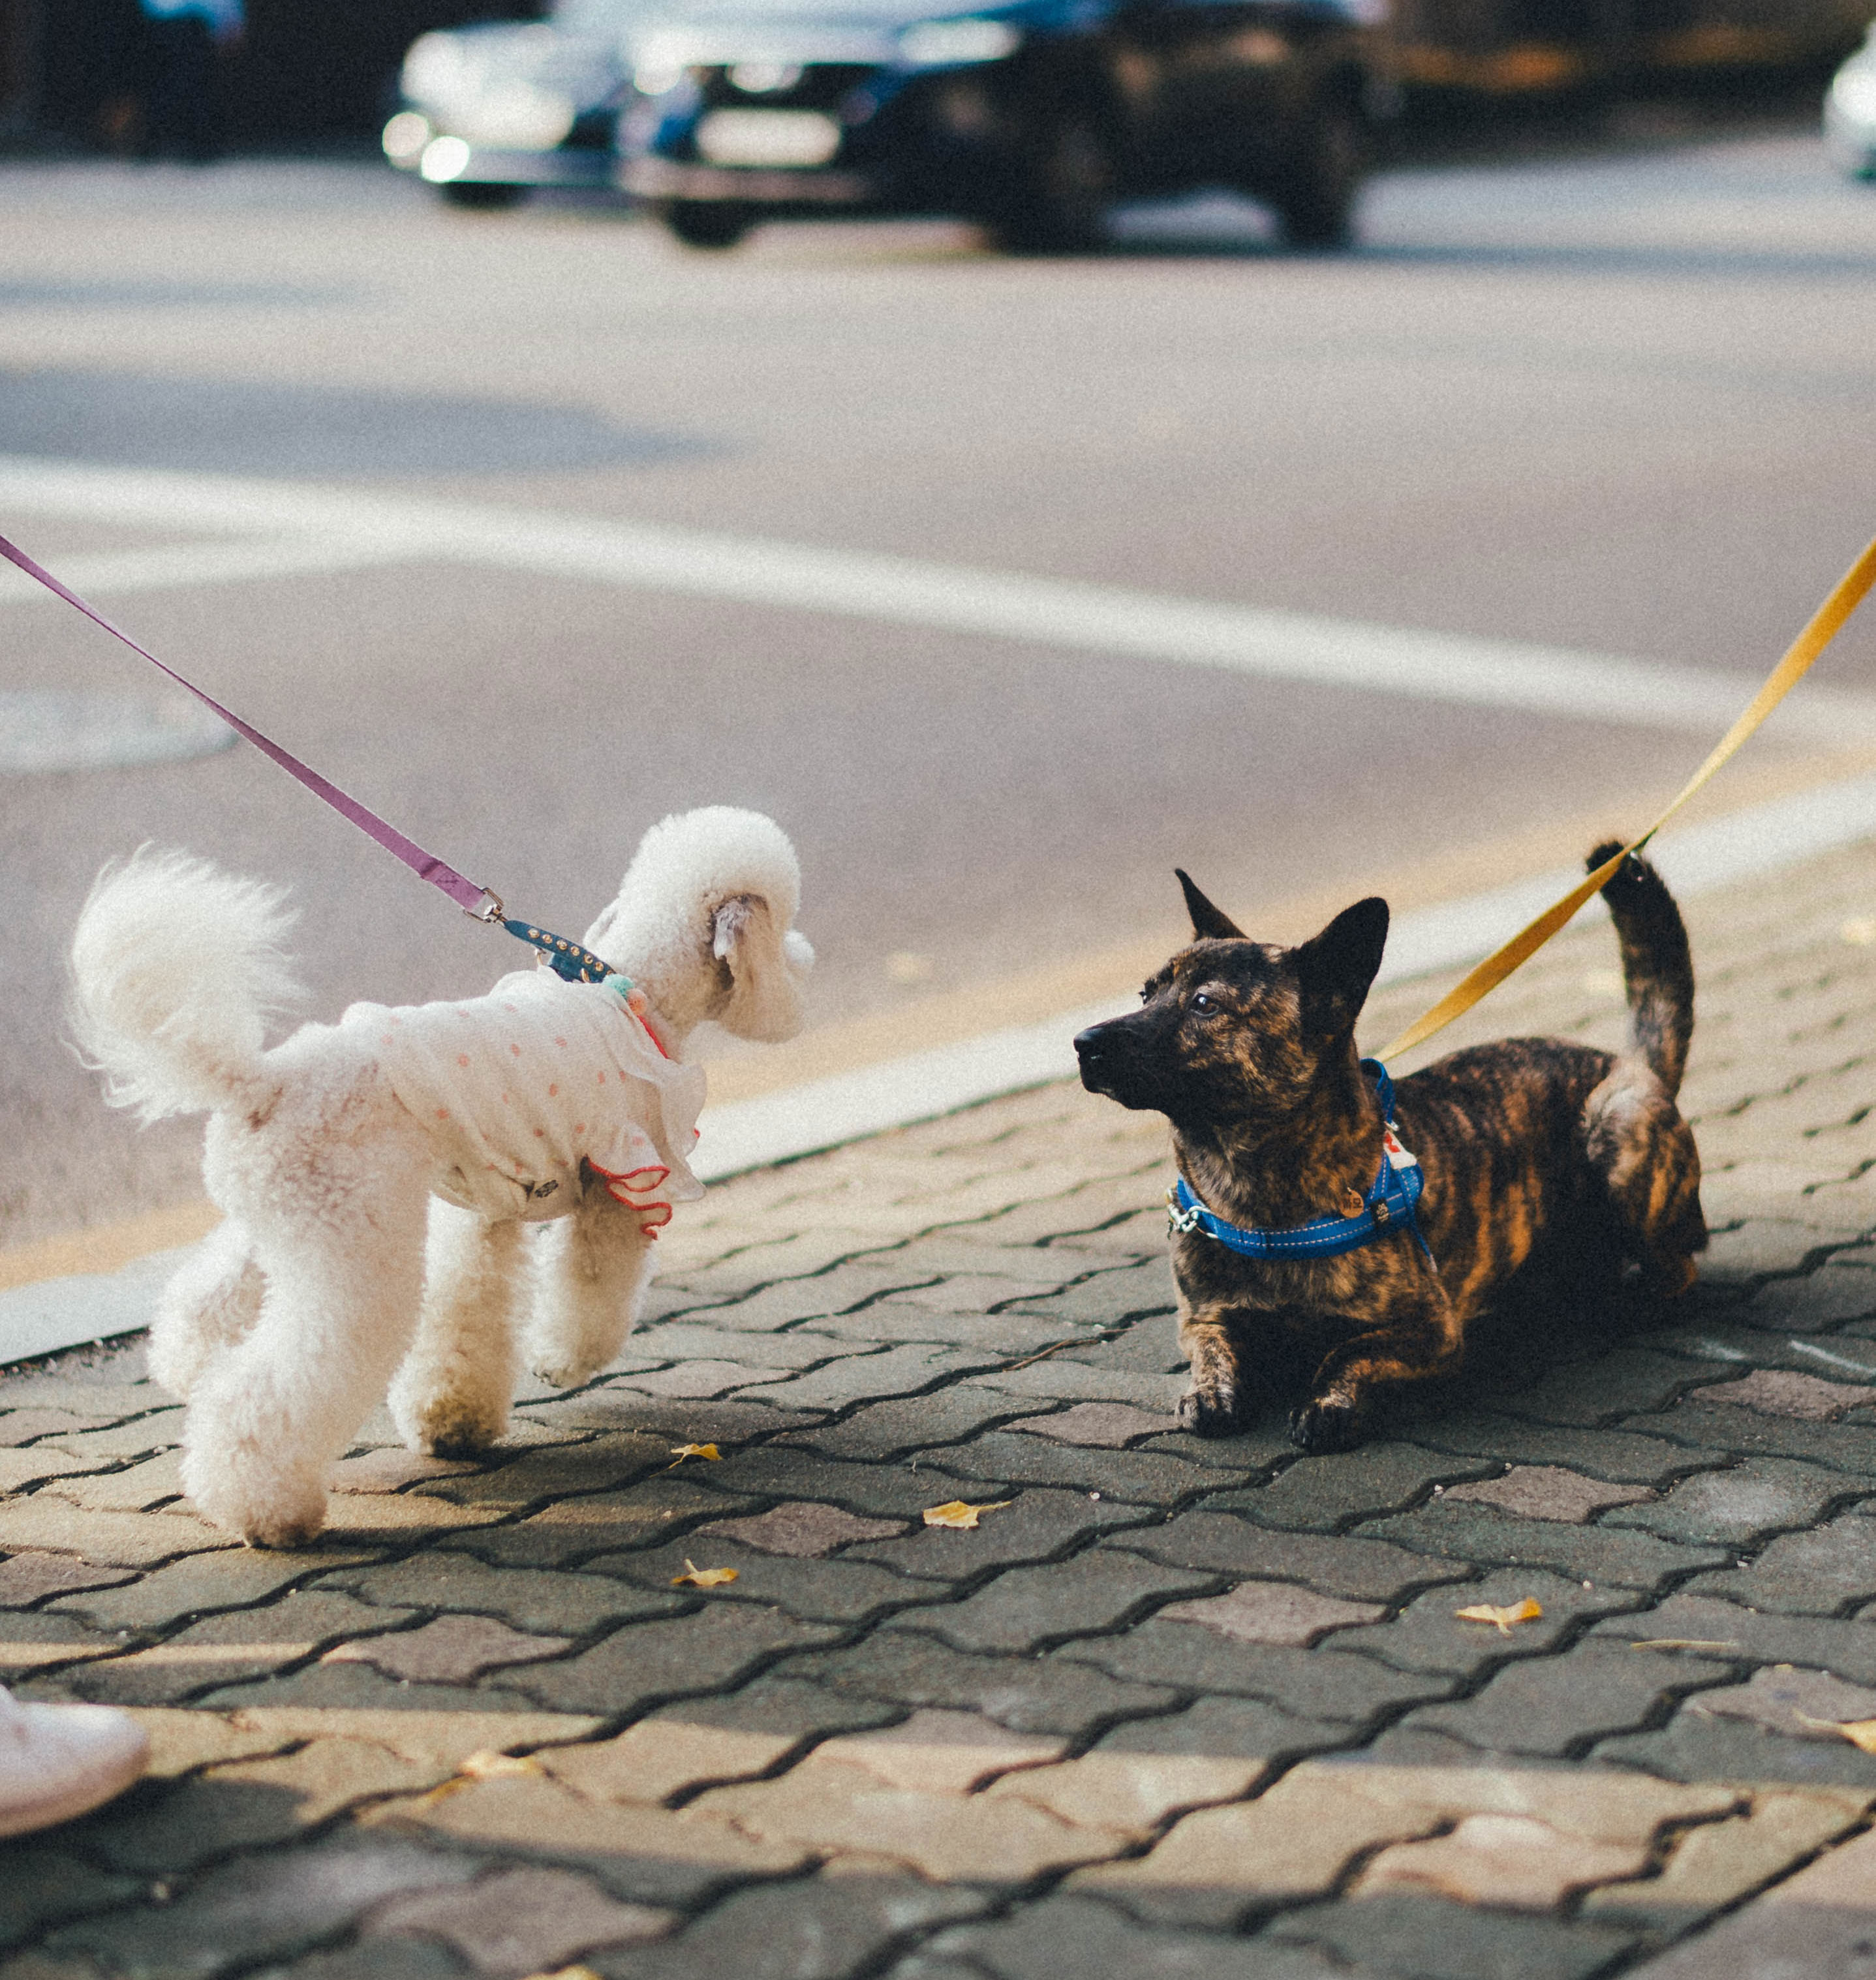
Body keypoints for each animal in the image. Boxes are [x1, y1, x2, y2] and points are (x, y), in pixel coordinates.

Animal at [1068, 839, 1702, 1457]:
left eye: (1204, 1004)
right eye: (1145, 993)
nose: (1082, 1042)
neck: (1252, 1186)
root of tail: (1633, 1064)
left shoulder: (1431, 1330)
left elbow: (1347, 1350)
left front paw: (1328, 1403)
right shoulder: (1203, 1318)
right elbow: (1212, 1349)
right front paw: (1208, 1392)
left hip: (1618, 1135)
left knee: (1679, 1267)